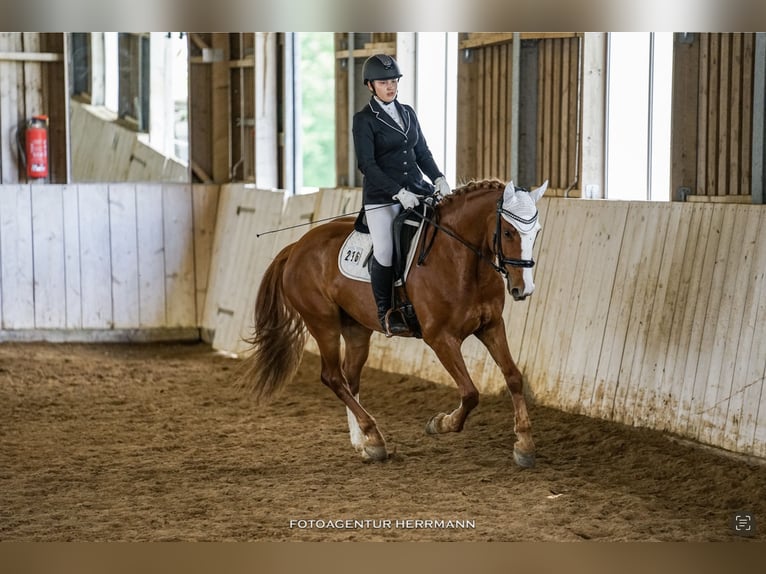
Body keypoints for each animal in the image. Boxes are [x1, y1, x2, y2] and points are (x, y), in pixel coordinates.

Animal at [240, 179, 544, 468]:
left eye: (537, 232)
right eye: (509, 232)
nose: (523, 289)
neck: (460, 260)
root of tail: (296, 247)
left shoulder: (491, 326)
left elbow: (513, 377)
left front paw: (524, 445)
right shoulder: (441, 338)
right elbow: (470, 393)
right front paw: (439, 423)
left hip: (355, 329)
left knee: (349, 377)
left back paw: (363, 443)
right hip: (323, 324)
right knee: (334, 377)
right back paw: (374, 437)